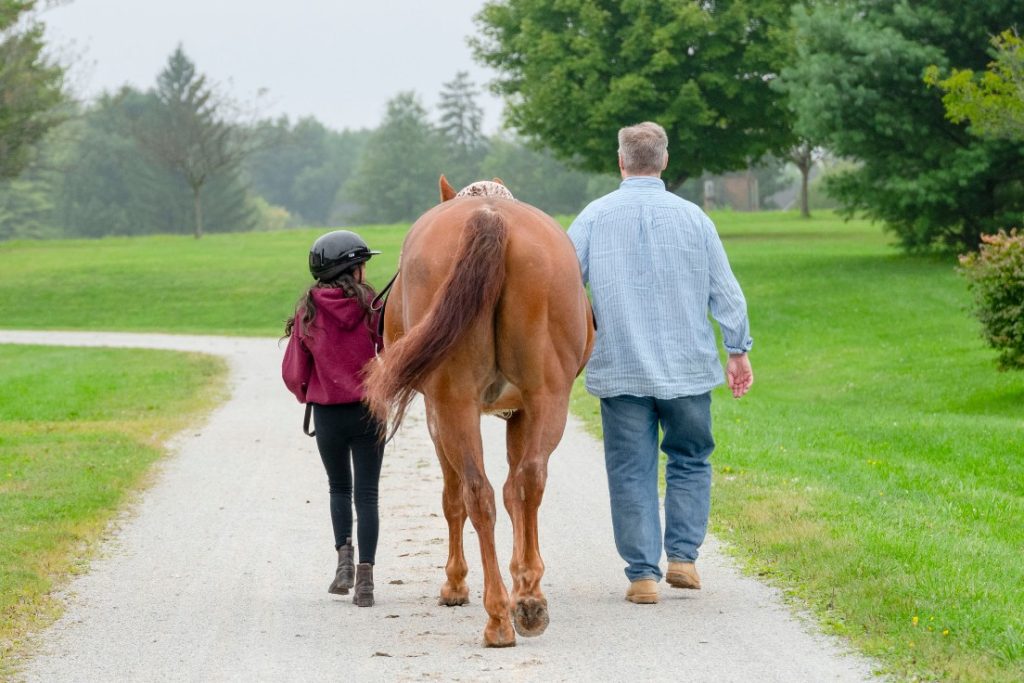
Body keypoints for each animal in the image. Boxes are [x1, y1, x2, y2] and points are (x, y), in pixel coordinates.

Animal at [366, 175, 593, 647]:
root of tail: (489, 218)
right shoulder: (521, 411)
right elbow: (516, 490)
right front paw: (526, 582)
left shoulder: (436, 415)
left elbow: (452, 498)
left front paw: (455, 584)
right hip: (548, 399)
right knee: (526, 482)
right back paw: (526, 605)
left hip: (454, 404)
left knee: (475, 494)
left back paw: (497, 616)